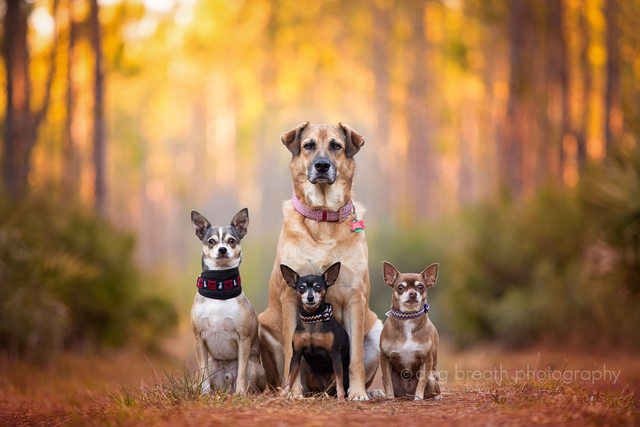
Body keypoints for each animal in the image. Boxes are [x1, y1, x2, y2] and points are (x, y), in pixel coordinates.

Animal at [280, 262, 350, 400]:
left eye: (318, 287)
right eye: (301, 287)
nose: (310, 297)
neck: (312, 319)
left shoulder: (335, 354)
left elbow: (339, 383)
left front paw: (341, 398)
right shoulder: (296, 354)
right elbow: (290, 377)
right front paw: (284, 393)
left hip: (340, 374)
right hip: (311, 377)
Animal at [380, 260, 440, 402]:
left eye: (421, 287)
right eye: (400, 287)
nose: (413, 293)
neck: (408, 318)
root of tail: (407, 394)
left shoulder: (426, 360)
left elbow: (422, 381)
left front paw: (418, 398)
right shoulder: (385, 358)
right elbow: (388, 383)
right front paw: (389, 399)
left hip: (432, 377)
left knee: (435, 389)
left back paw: (436, 396)